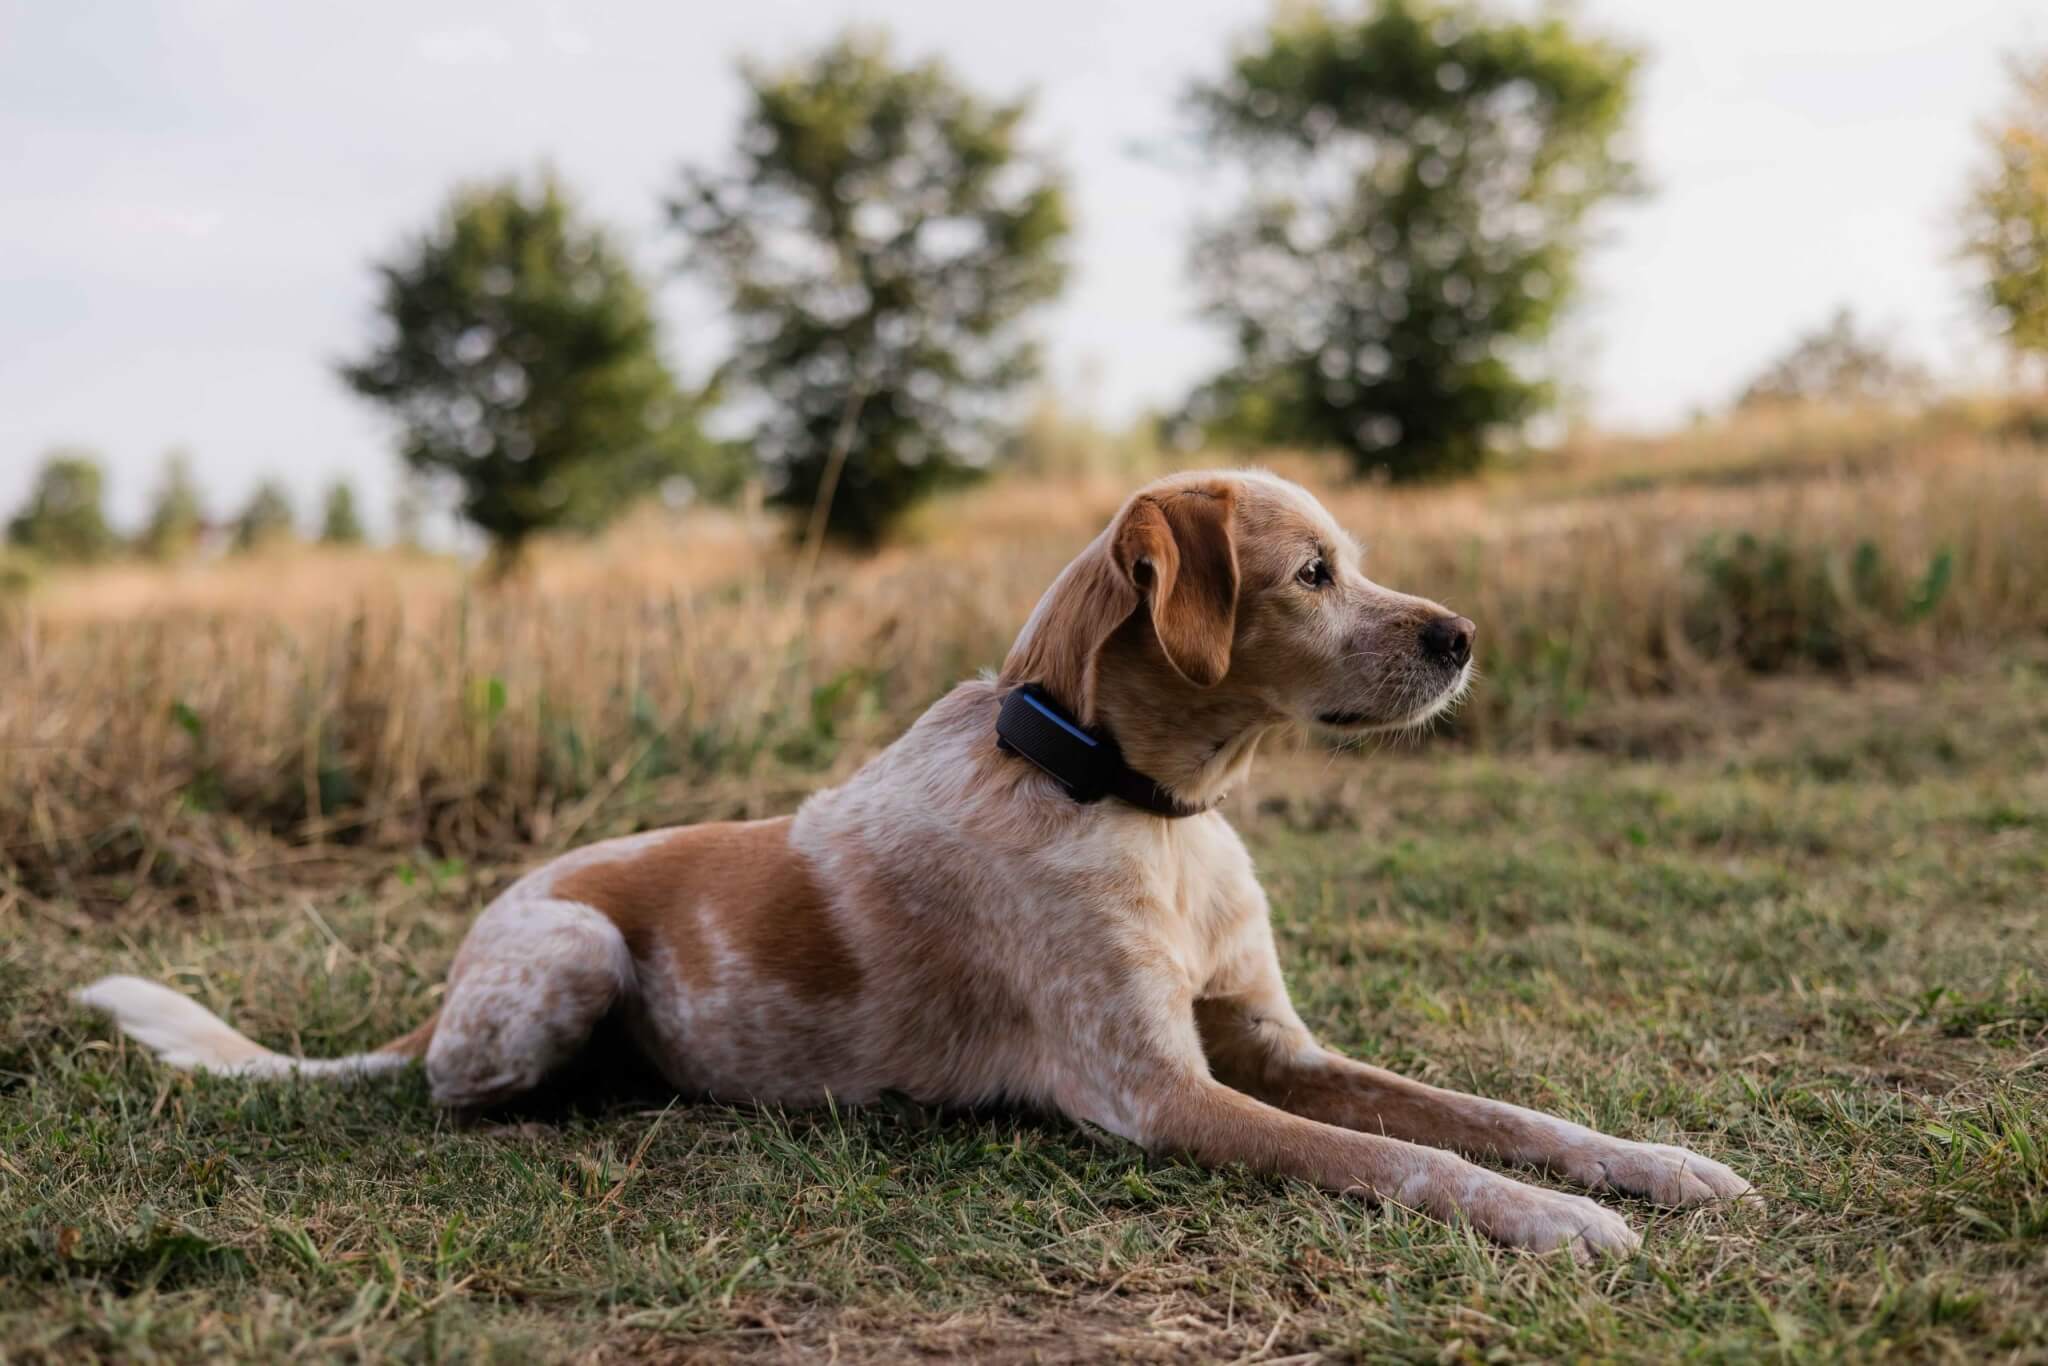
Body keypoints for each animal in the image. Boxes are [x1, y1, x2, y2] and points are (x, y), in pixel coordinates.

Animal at [75, 473, 1744, 1261]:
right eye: (1313, 573)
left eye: (1361, 558)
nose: (1464, 636)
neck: (1137, 802)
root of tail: (447, 976)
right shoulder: (1160, 1093)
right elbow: (1412, 1159)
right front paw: (1557, 1222)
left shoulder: (1280, 1046)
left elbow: (1489, 1114)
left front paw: (1655, 1165)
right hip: (571, 959)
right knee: (459, 1093)